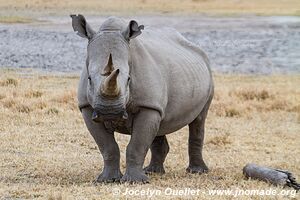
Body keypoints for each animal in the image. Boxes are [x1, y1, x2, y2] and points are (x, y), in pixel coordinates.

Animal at [71, 14, 214, 184]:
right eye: (89, 79)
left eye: (128, 79)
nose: (109, 111)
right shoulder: (87, 107)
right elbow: (107, 146)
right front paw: (107, 180)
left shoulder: (148, 106)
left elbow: (137, 145)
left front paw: (135, 182)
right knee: (160, 123)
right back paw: (153, 171)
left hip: (207, 73)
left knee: (199, 120)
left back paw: (197, 171)